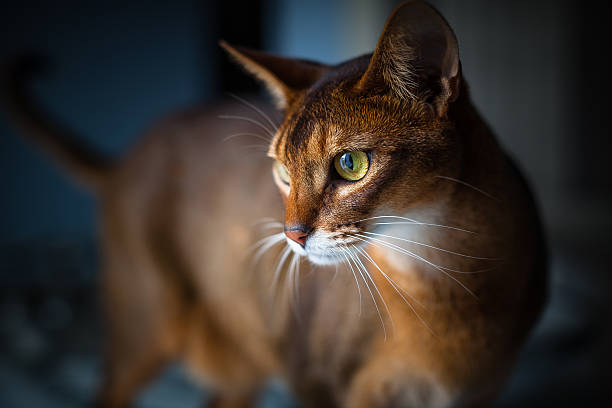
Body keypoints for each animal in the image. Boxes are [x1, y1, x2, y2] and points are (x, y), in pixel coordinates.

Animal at [2, 0, 548, 408]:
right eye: (283, 173)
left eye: (350, 164)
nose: (294, 236)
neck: (450, 279)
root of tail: (128, 157)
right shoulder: (316, 381)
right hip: (145, 322)